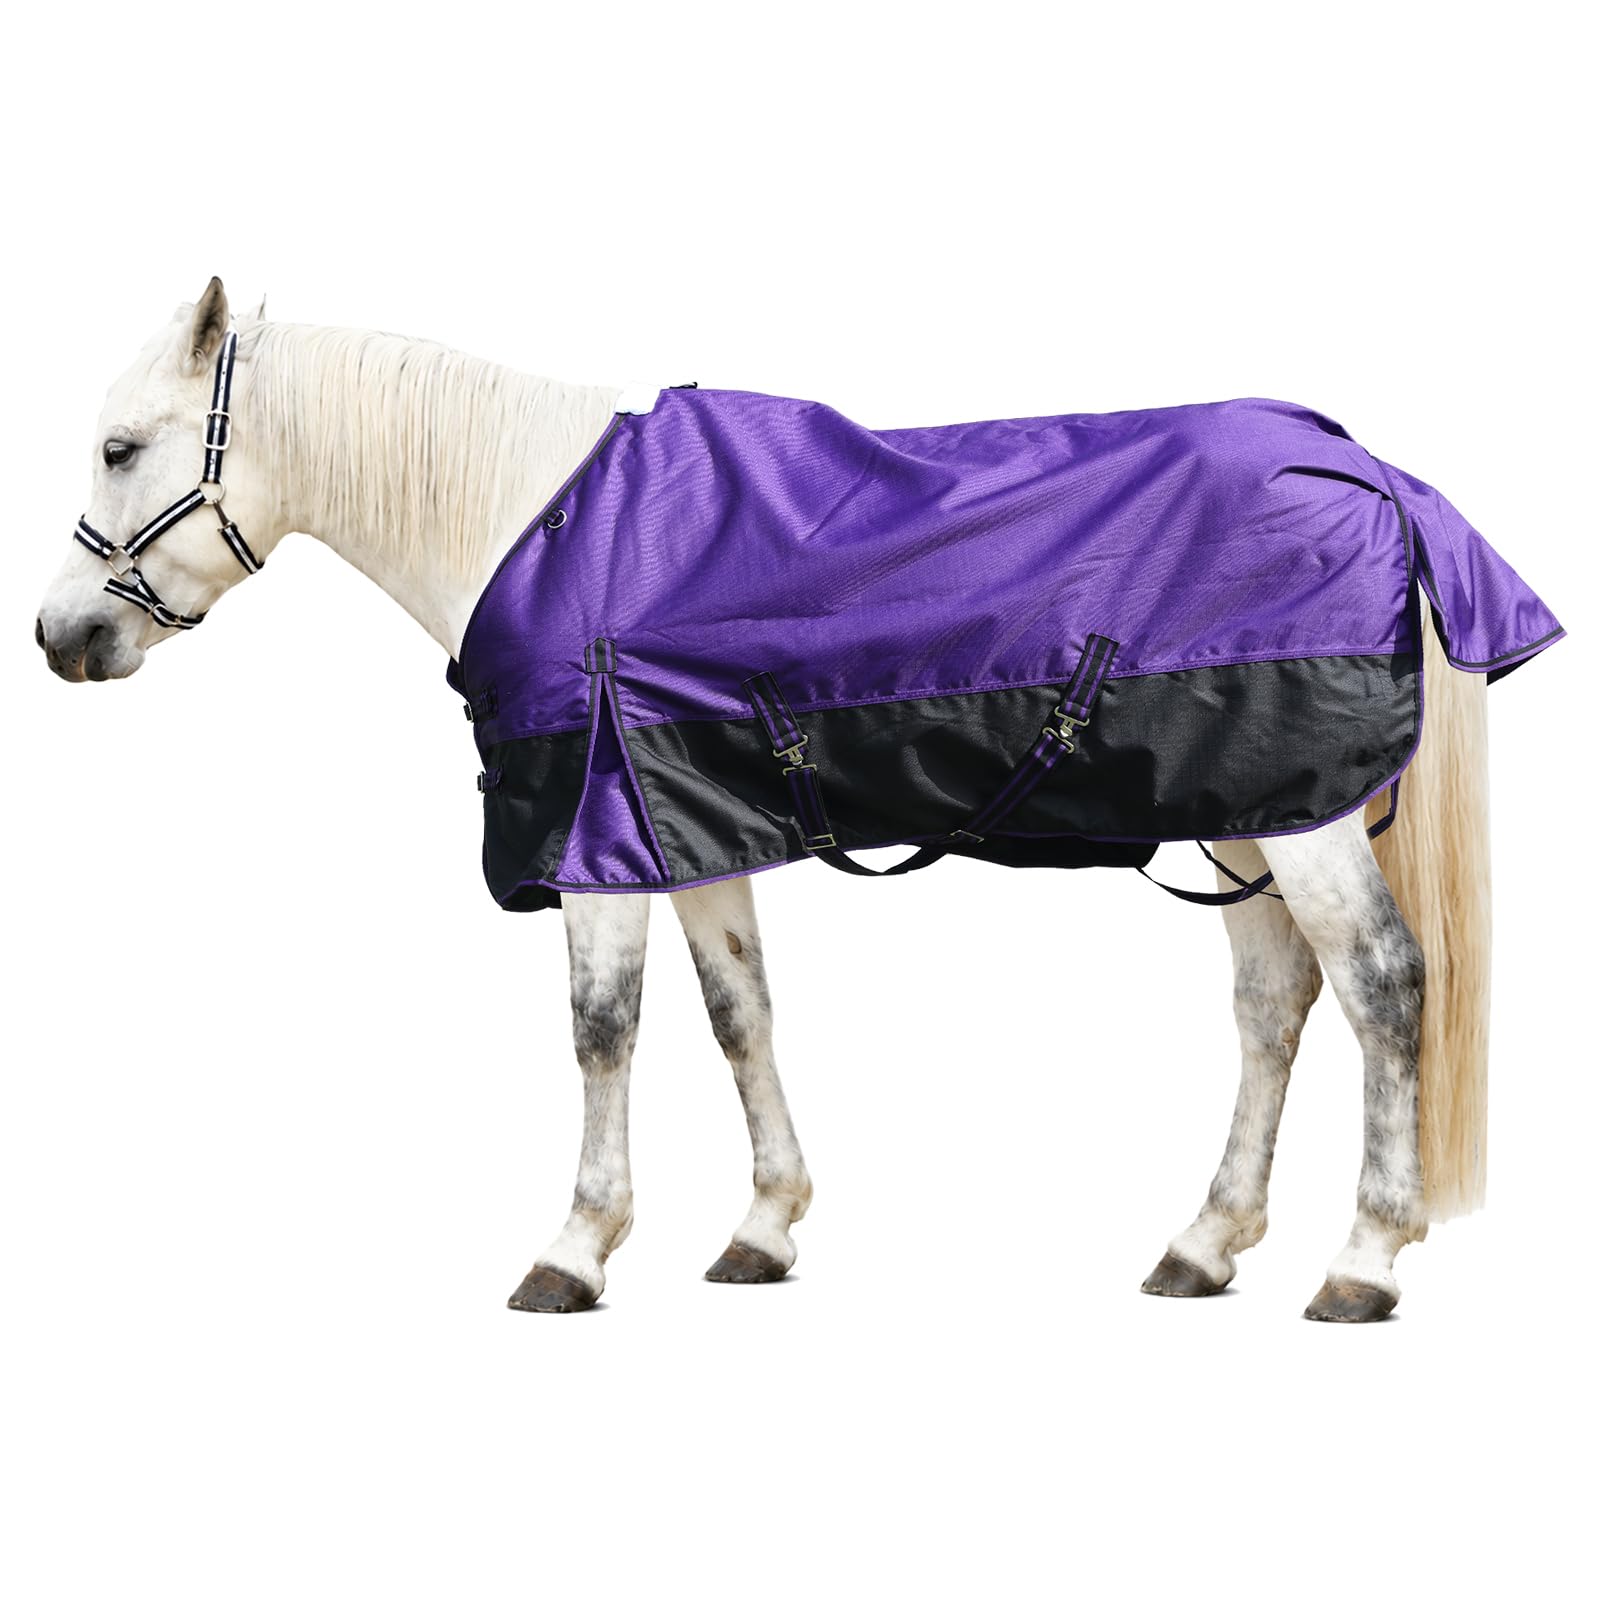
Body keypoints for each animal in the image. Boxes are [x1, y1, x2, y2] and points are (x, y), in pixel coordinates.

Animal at [36, 278, 1544, 1323]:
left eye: (119, 448)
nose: (60, 638)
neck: (540, 522)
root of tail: (1368, 472)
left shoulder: (593, 842)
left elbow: (600, 1030)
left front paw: (574, 1247)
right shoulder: (684, 828)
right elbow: (738, 1014)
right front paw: (763, 1227)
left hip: (1303, 818)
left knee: (1383, 987)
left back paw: (1361, 1260)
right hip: (1246, 805)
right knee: (1274, 1004)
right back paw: (1204, 1243)